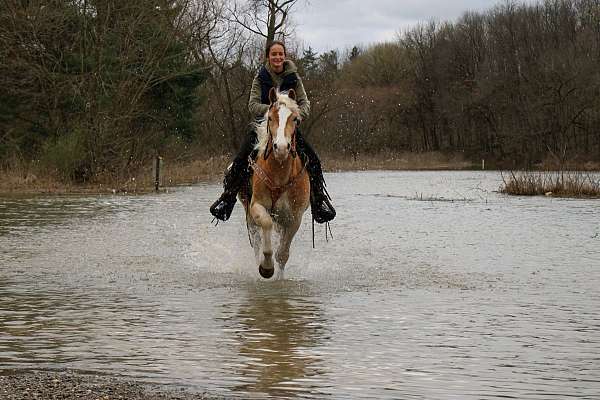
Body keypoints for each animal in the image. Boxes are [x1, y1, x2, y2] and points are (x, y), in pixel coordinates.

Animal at [238, 88, 310, 282]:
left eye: (295, 119)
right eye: (270, 117)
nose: (282, 148)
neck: (279, 175)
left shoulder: (294, 218)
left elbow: (282, 254)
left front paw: (279, 278)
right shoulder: (256, 206)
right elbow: (266, 226)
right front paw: (266, 268)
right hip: (249, 216)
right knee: (256, 243)